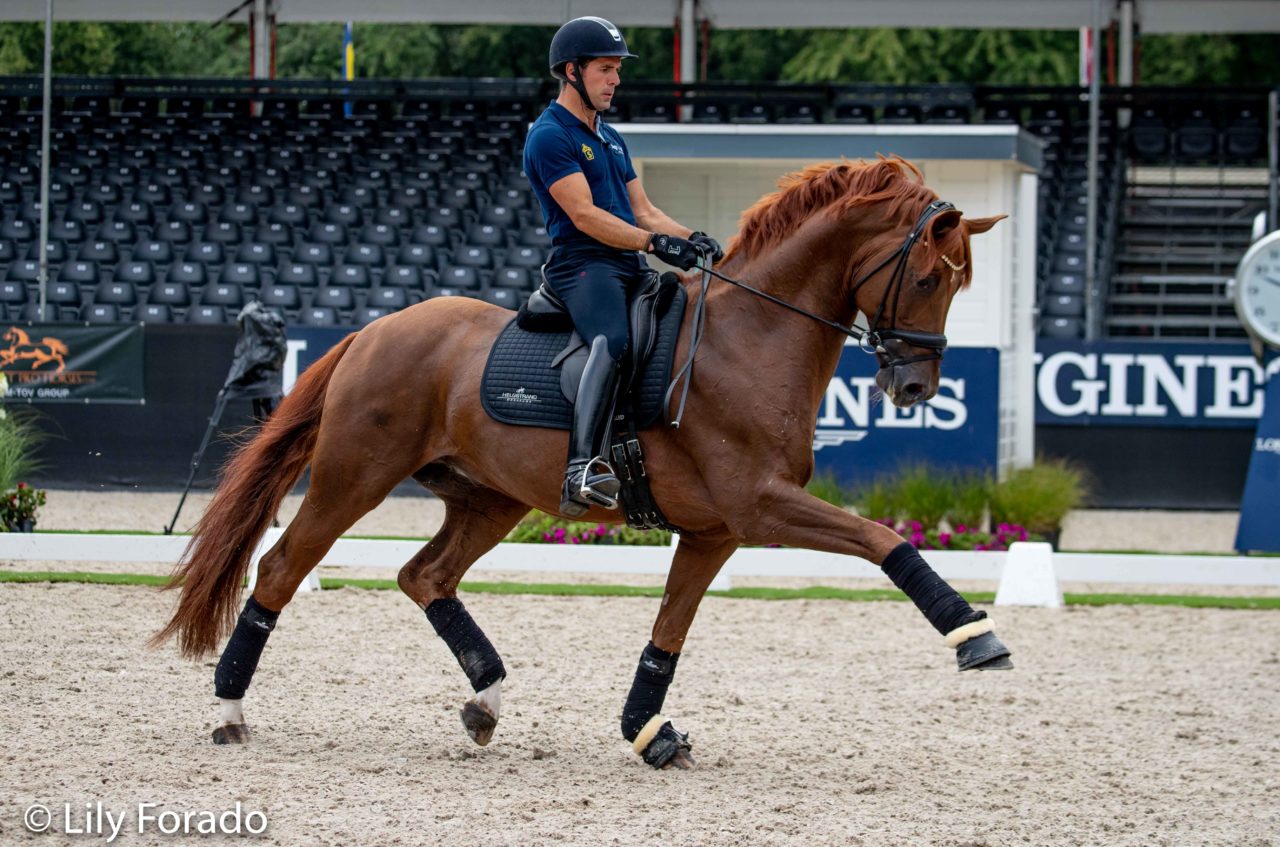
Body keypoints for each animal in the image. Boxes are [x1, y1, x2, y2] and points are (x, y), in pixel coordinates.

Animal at [152, 157, 1008, 767]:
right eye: (926, 277)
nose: (914, 387)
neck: (751, 339)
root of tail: (373, 330)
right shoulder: (759, 503)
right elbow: (882, 538)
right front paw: (973, 633)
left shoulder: (715, 530)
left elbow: (668, 633)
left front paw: (649, 731)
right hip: (352, 478)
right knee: (280, 569)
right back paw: (229, 712)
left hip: (492, 497)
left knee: (425, 574)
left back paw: (487, 700)